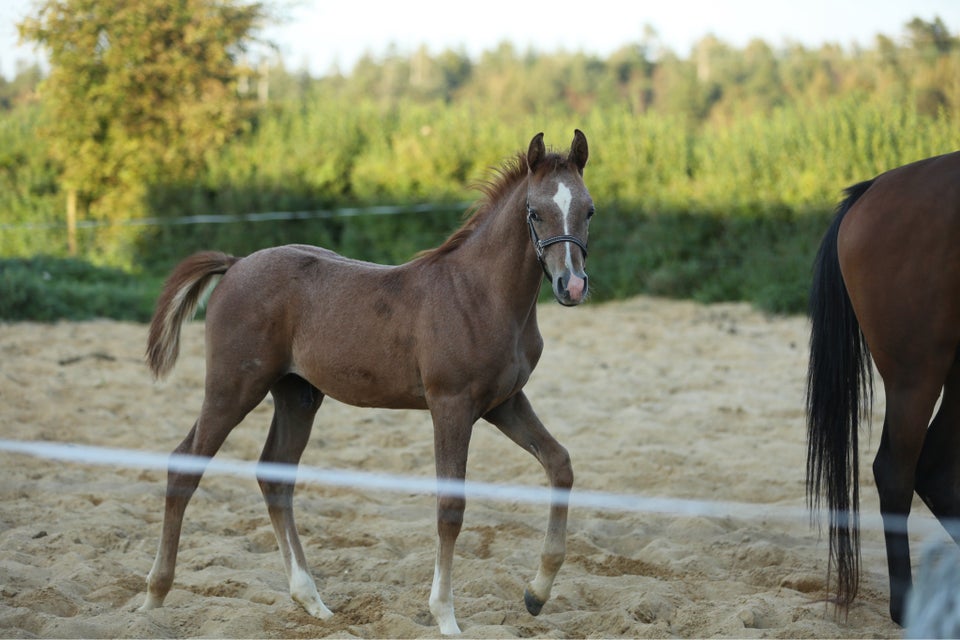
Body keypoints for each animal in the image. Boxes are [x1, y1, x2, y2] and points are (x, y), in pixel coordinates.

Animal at [140, 131, 592, 636]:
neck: (480, 295)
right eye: (535, 211)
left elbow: (559, 464)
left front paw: (536, 594)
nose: (572, 286)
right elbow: (450, 509)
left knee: (274, 475)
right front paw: (446, 616)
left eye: (589, 210)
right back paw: (155, 596)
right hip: (233, 387)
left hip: (297, 396)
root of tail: (235, 263)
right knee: (184, 466)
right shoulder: (451, 405)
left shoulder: (504, 403)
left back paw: (312, 601)